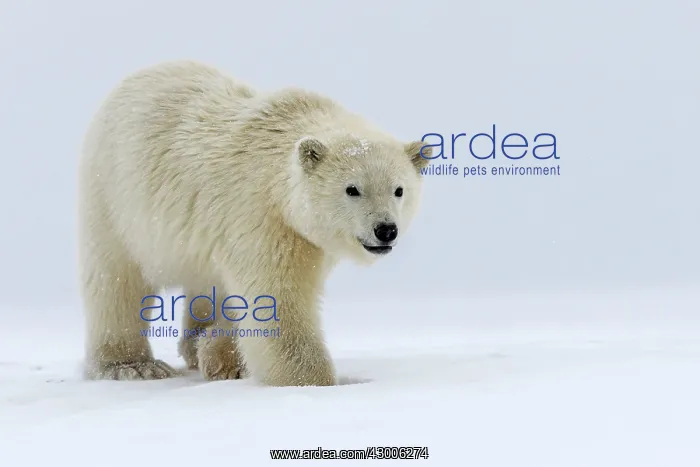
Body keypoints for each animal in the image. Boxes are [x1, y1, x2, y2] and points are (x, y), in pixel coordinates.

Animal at [78, 60, 432, 386]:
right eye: (352, 189)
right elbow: (276, 300)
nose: (385, 229)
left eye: (399, 190)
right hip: (114, 198)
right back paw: (133, 366)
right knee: (116, 280)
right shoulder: (261, 217)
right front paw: (312, 380)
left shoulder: (305, 238)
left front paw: (222, 357)